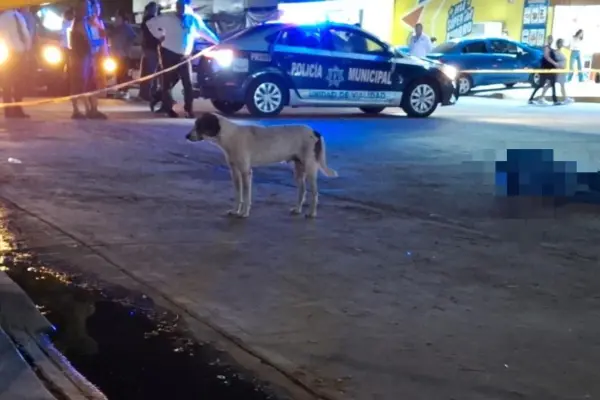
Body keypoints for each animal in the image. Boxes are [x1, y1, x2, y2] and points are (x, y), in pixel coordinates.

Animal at [186, 112, 338, 218]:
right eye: (195, 124)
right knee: (302, 190)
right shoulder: (234, 172)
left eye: (200, 125)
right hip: (299, 169)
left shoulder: (246, 172)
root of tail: (315, 131)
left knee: (315, 193)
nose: (187, 136)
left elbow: (246, 195)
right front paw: (235, 210)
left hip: (310, 169)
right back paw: (297, 209)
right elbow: (238, 195)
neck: (230, 136)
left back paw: (312, 213)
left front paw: (244, 213)